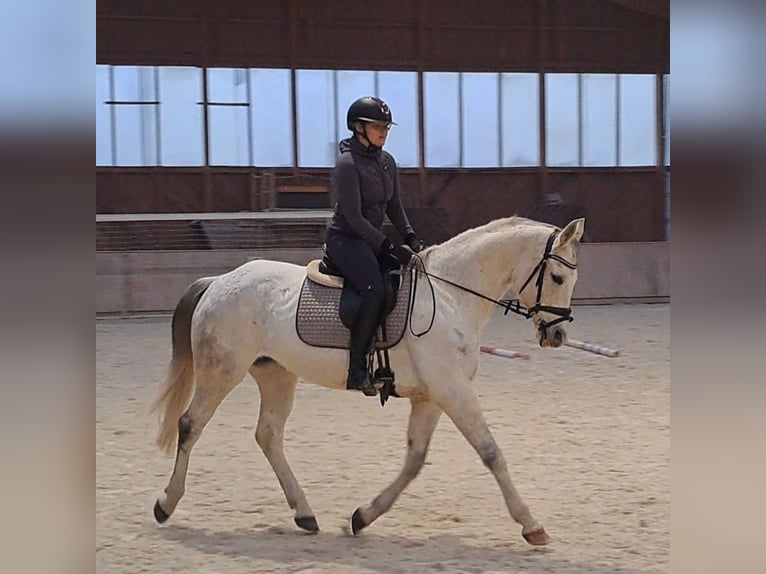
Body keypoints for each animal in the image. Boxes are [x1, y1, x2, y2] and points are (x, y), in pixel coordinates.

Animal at [151, 215, 585, 546]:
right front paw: (531, 524)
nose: (557, 335)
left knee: (268, 435)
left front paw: (363, 516)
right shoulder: (452, 391)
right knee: (190, 425)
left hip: (276, 375)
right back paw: (166, 504)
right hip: (221, 372)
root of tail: (220, 280)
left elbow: (414, 460)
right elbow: (491, 453)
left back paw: (305, 514)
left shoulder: (431, 397)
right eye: (558, 277)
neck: (450, 296)